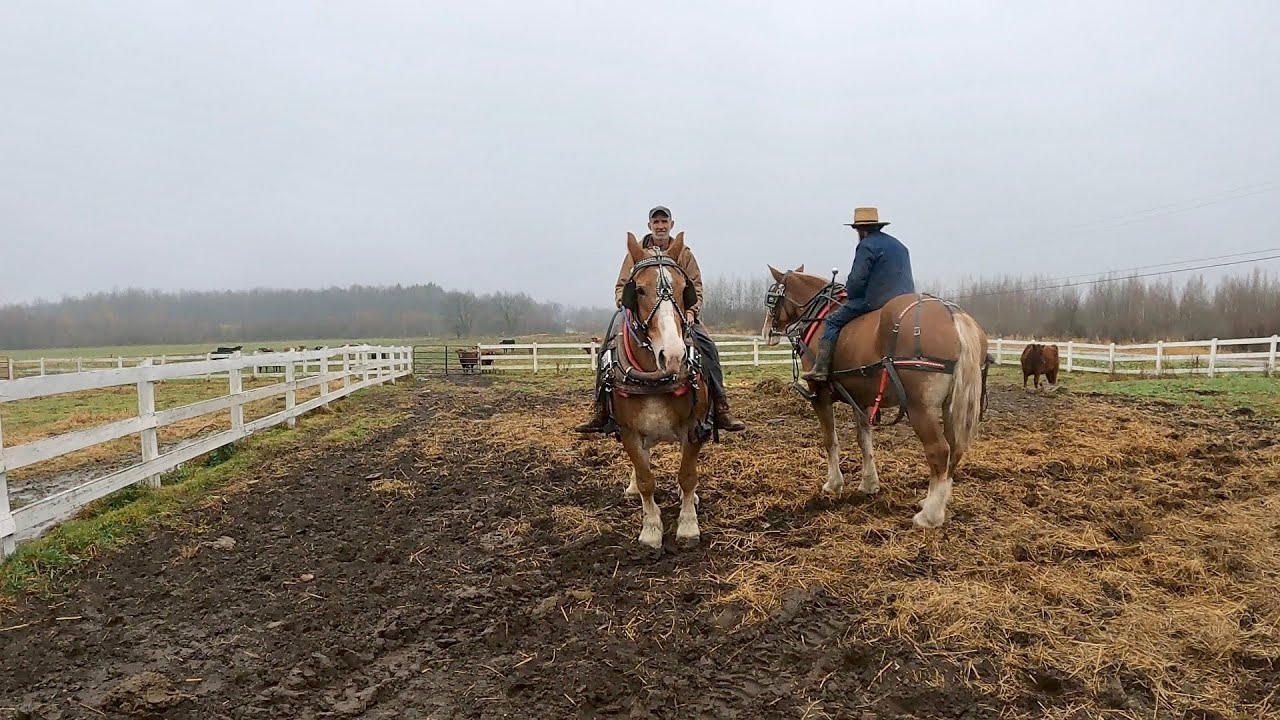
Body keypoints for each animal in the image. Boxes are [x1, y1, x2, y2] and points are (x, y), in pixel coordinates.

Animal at [602, 231, 714, 548]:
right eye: (638, 290)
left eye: (684, 289)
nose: (673, 355)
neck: (654, 377)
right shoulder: (628, 431)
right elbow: (645, 479)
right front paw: (651, 528)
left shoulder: (694, 426)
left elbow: (687, 475)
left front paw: (688, 526)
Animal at [761, 265, 991, 528]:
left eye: (771, 297)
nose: (766, 332)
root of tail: (954, 316)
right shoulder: (860, 399)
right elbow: (864, 441)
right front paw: (869, 483)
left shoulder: (820, 396)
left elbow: (830, 440)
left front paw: (834, 484)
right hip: (951, 407)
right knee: (955, 449)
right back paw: (934, 501)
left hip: (920, 408)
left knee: (940, 451)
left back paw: (929, 515)